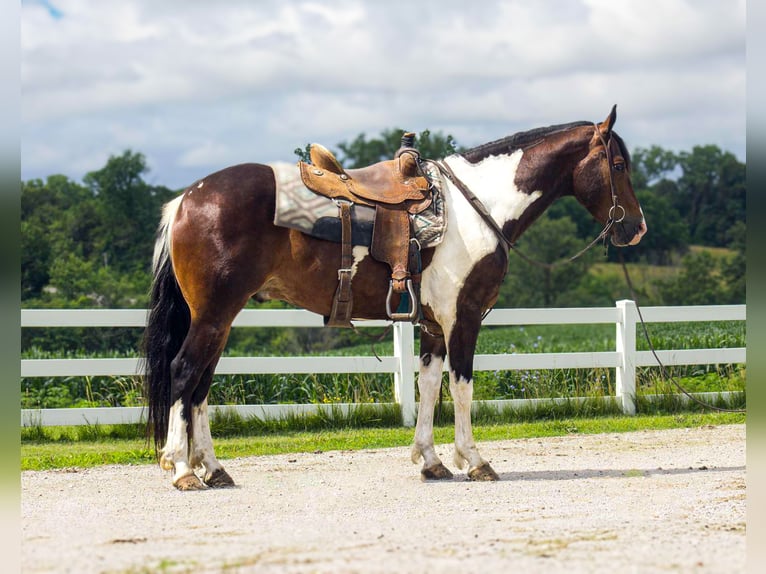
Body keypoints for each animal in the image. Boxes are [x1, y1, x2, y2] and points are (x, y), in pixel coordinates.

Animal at [143, 105, 647, 490]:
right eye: (618, 166)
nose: (636, 228)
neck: (477, 206)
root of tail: (187, 199)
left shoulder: (433, 325)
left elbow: (429, 385)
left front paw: (431, 461)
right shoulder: (464, 317)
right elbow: (461, 387)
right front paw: (474, 460)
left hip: (220, 319)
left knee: (201, 386)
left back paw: (213, 469)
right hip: (214, 315)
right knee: (183, 372)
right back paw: (182, 468)